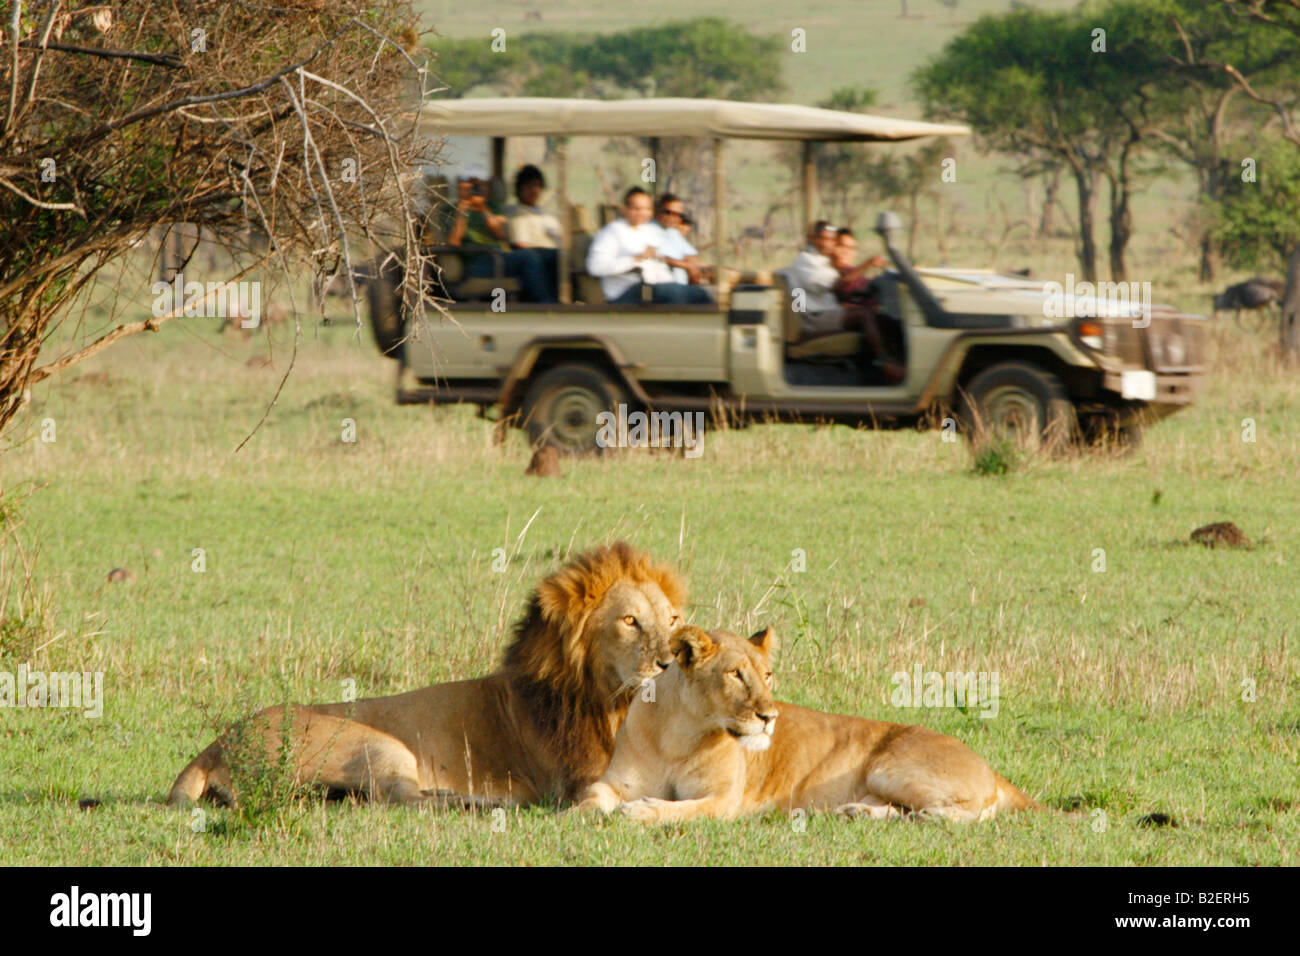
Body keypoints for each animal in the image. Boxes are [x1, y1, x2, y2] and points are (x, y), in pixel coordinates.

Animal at [167, 541, 686, 811]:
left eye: (672, 620)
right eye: (630, 621)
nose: (669, 662)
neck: (610, 702)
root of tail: (213, 746)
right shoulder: (583, 781)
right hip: (379, 743)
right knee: (401, 799)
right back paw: (488, 803)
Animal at [579, 629, 1034, 822]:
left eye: (767, 675)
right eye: (735, 675)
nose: (769, 717)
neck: (680, 733)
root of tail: (992, 769)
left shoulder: (724, 801)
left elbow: (680, 810)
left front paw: (642, 811)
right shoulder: (615, 782)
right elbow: (591, 798)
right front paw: (578, 817)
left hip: (888, 767)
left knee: (969, 814)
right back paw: (856, 812)